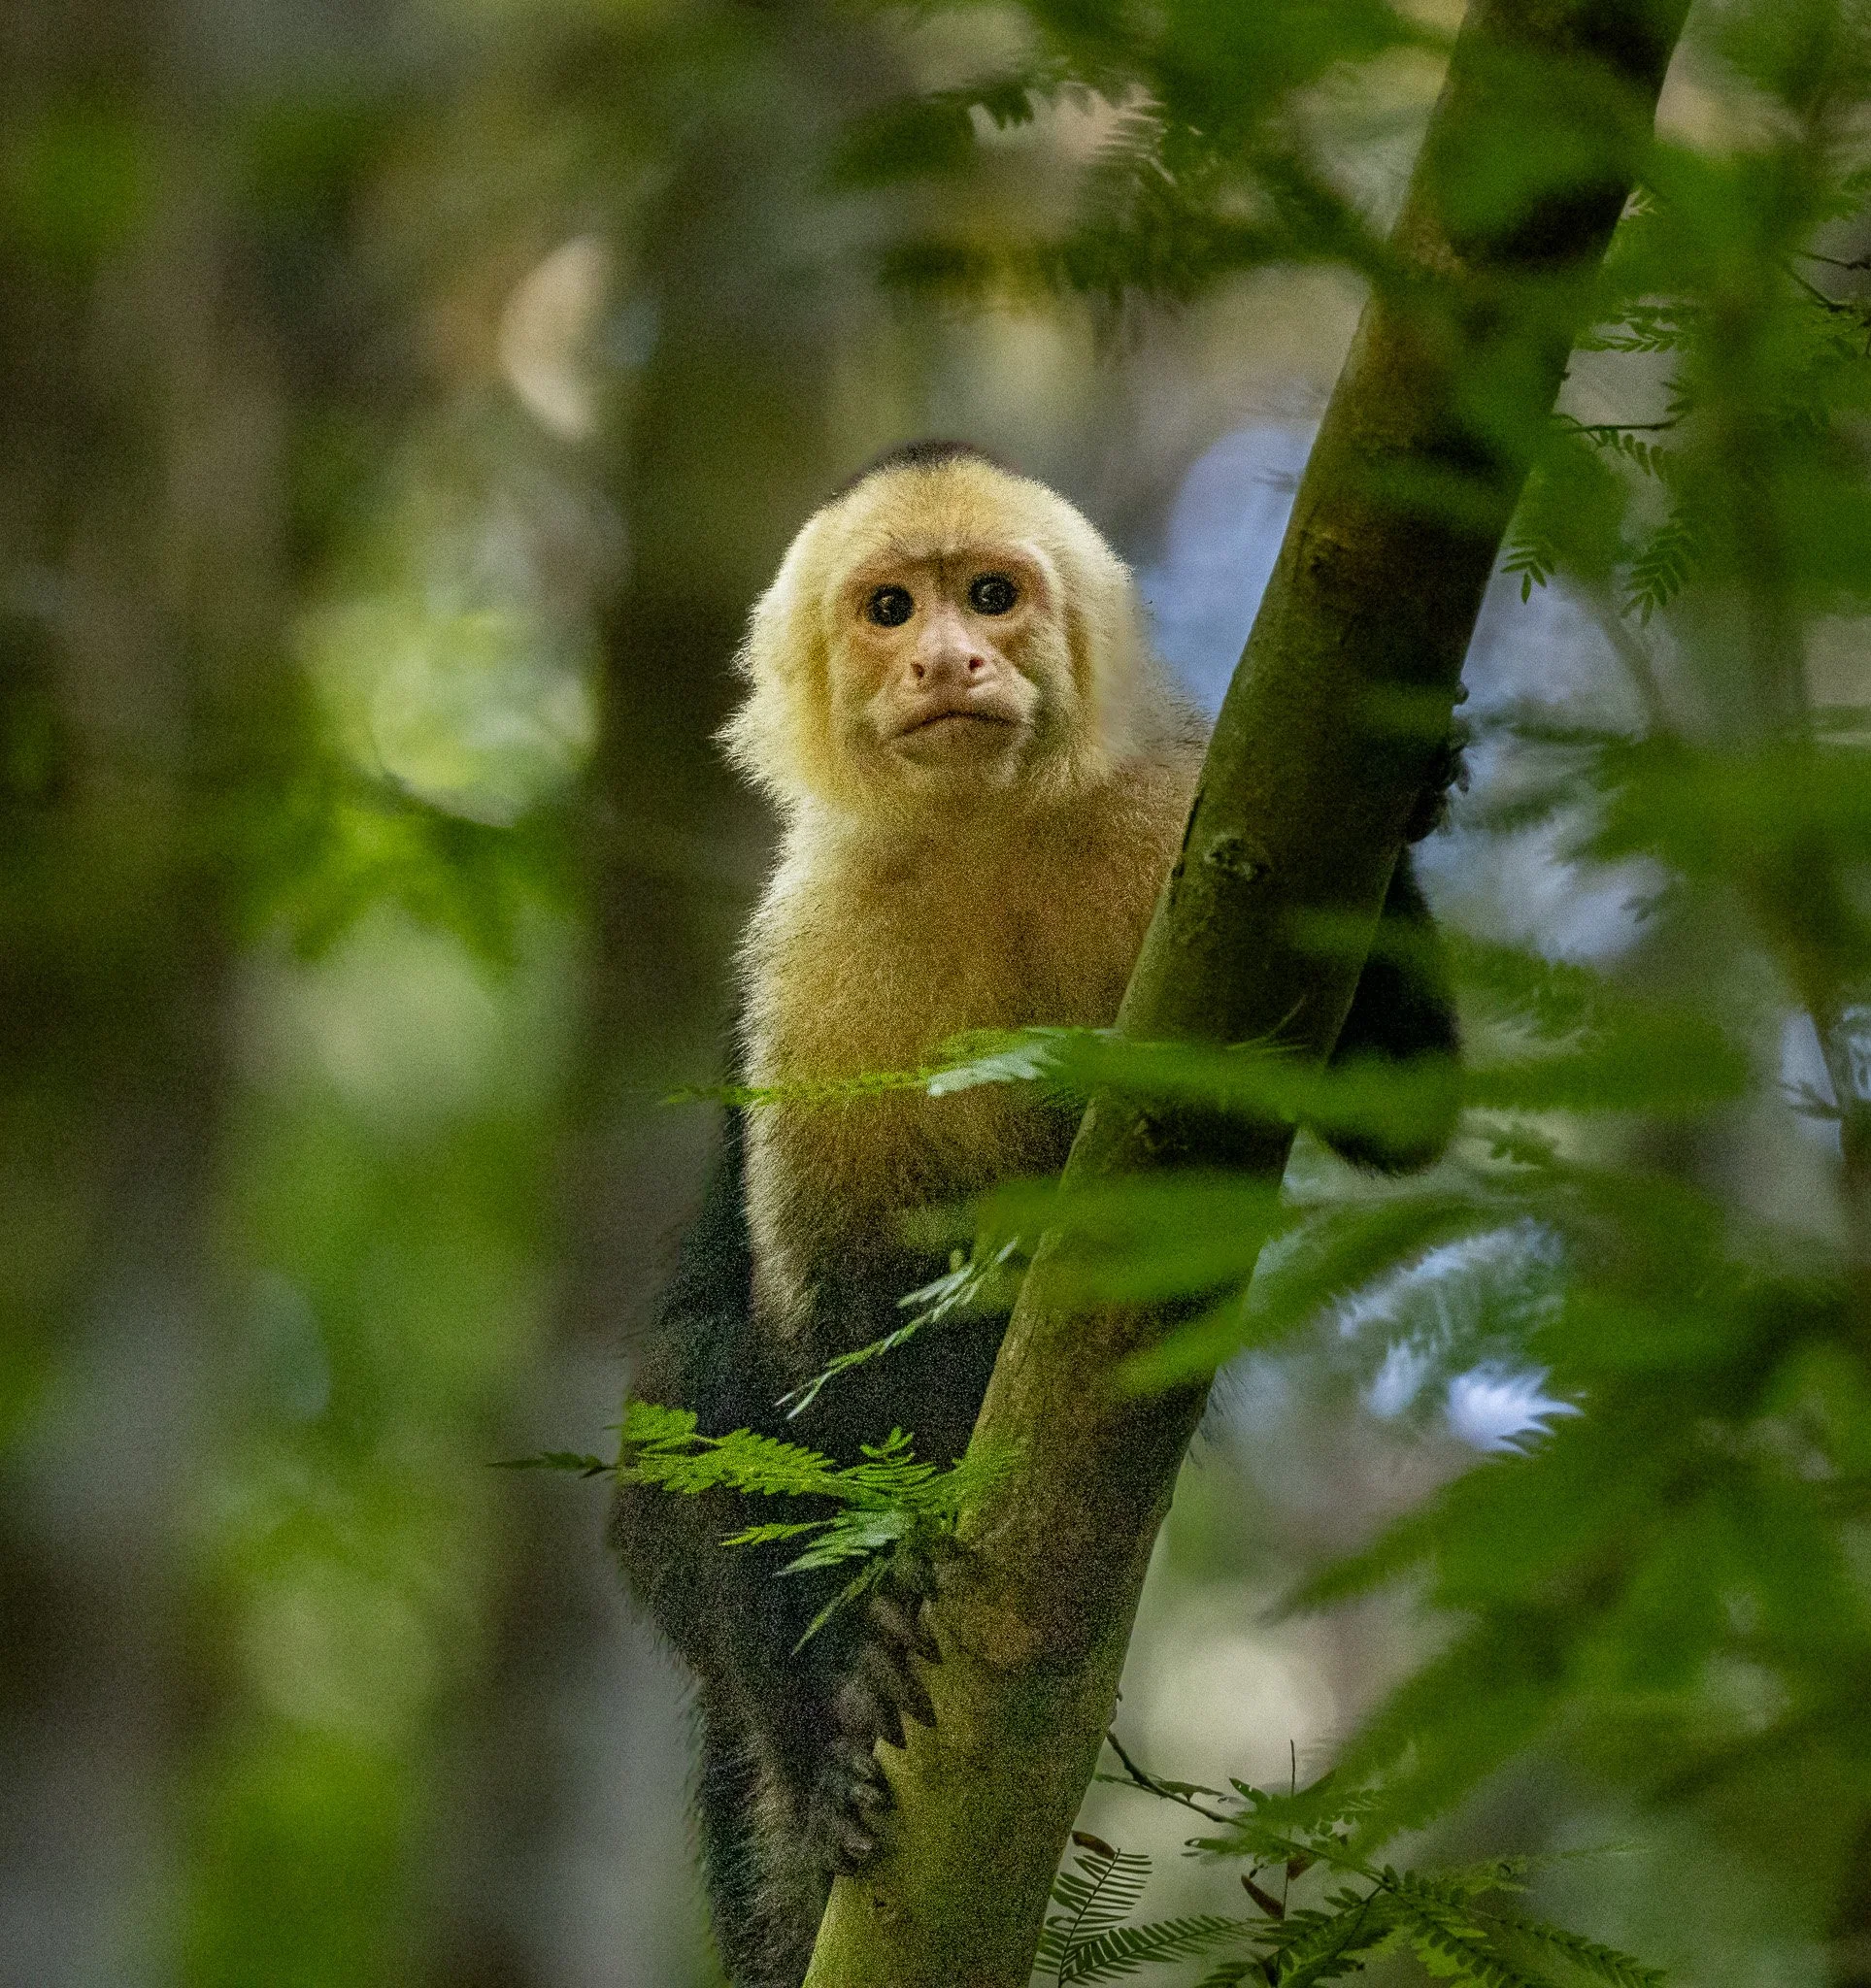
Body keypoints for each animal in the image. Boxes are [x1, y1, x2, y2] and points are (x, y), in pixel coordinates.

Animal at [611, 439, 1460, 1987]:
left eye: (991, 597)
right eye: (891, 607)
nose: (946, 658)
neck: (982, 834)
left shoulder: (1182, 830)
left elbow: (1396, 1116)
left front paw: (1416, 788)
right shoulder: (815, 948)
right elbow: (825, 1323)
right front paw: (863, 1645)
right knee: (696, 1382)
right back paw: (825, 1740)